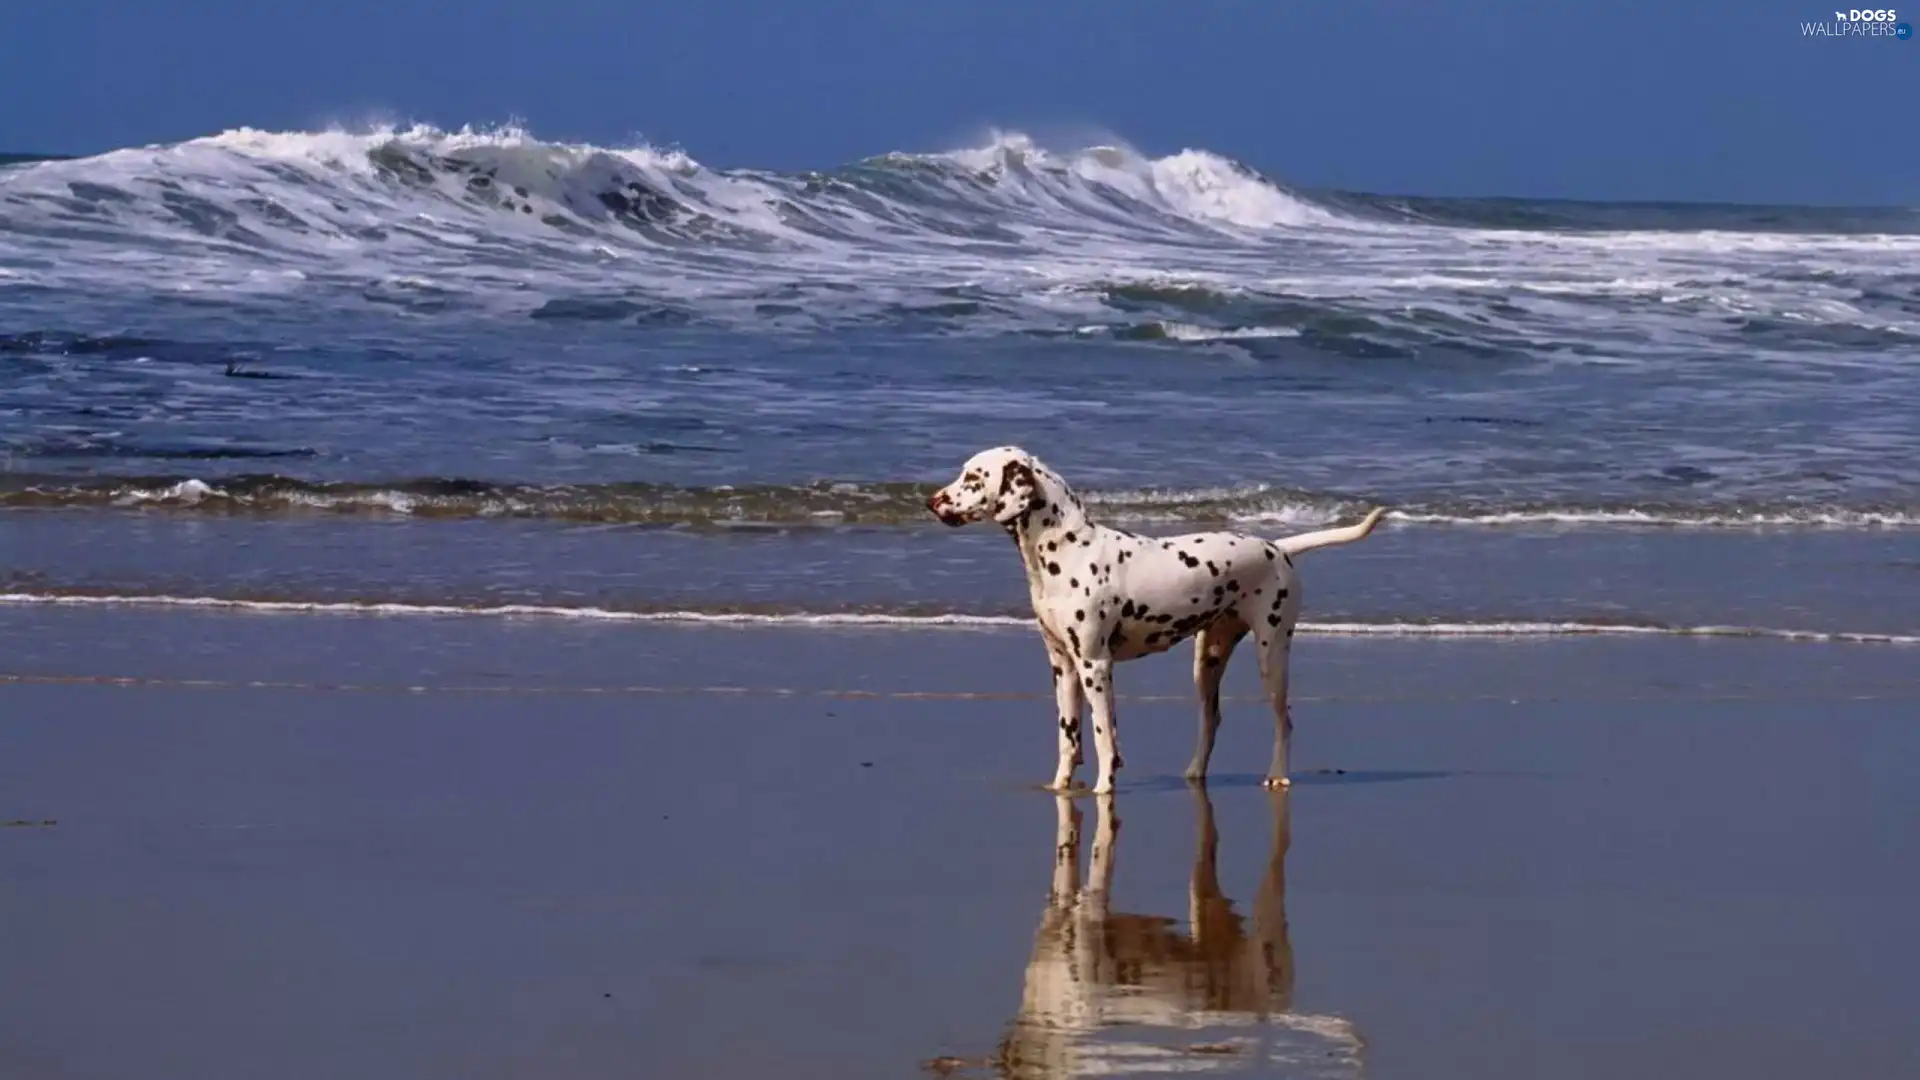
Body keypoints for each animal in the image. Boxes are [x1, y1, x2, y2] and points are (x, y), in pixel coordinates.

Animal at [925, 443, 1390, 791]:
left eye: (973, 478)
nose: (930, 502)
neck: (1068, 548)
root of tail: (1277, 548)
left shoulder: (1095, 665)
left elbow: (1104, 737)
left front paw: (1103, 791)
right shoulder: (1063, 666)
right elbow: (1068, 739)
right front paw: (1060, 788)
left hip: (1271, 657)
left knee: (1284, 723)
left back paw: (1277, 776)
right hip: (1207, 661)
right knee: (1212, 720)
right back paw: (1195, 773)